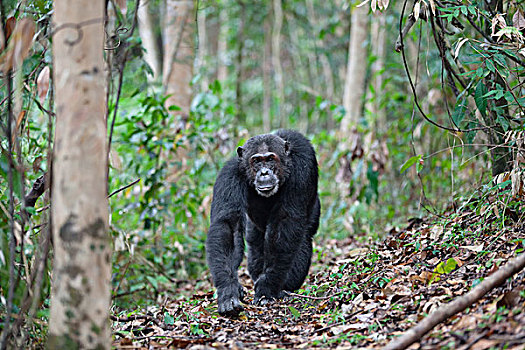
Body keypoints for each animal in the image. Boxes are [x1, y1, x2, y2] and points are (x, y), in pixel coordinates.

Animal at [205, 130, 320, 316]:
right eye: (257, 161)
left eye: (271, 159)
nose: (264, 172)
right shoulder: (230, 174)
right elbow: (228, 225)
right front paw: (229, 292)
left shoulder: (302, 168)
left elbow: (285, 221)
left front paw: (267, 288)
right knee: (255, 247)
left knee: (302, 240)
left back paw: (284, 289)